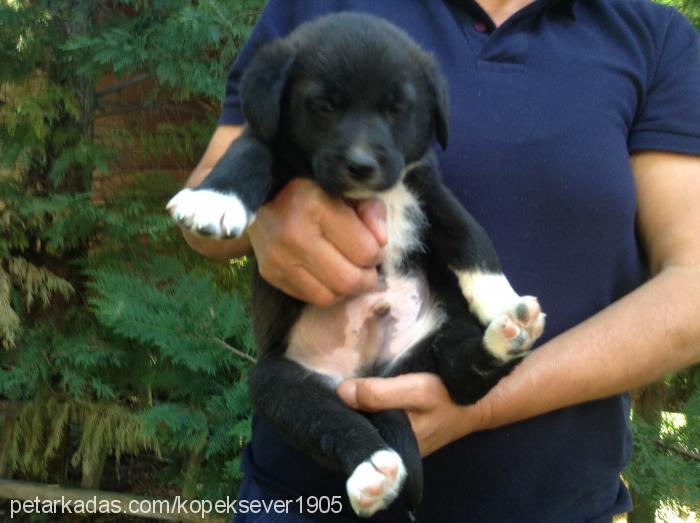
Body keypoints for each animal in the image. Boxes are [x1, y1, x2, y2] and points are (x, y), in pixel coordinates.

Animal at [167, 12, 544, 520]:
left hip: (439, 338)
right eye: (324, 106)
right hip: (278, 382)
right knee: (331, 422)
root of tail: (372, 374)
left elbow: (473, 241)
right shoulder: (270, 143)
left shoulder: (427, 191)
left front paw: (501, 299)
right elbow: (249, 153)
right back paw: (372, 469)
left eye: (397, 109)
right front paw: (214, 198)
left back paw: (506, 337)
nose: (361, 165)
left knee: (462, 379)